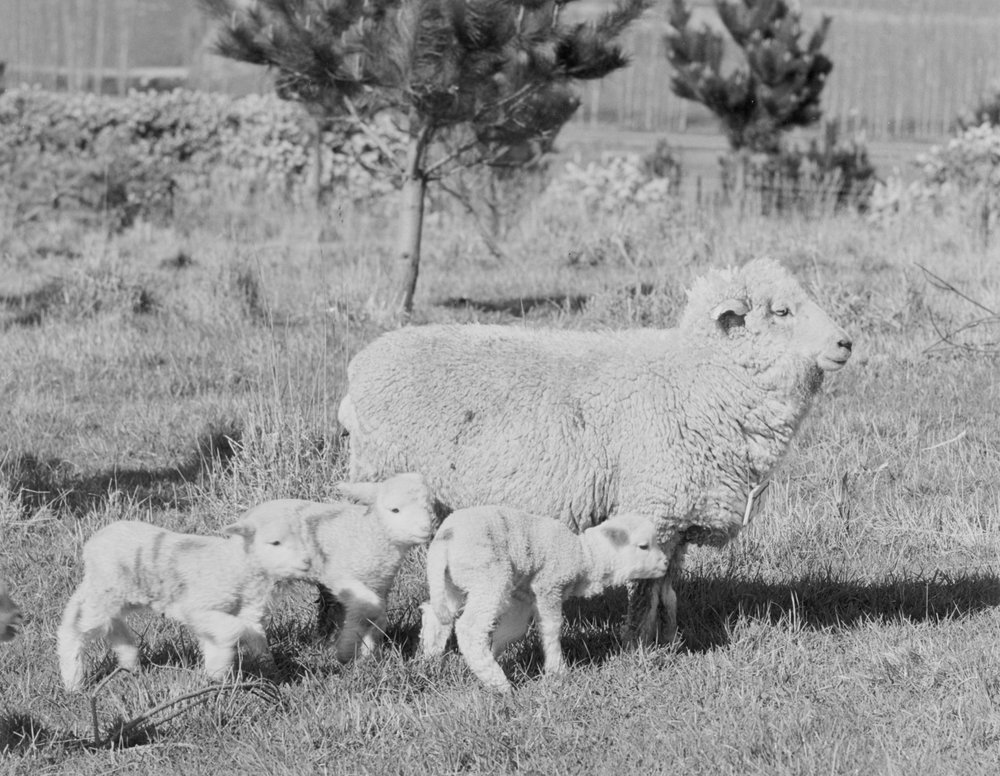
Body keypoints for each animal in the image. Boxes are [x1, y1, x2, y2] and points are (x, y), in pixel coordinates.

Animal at [57, 511, 313, 691]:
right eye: (275, 543)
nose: (307, 561)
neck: (234, 562)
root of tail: (93, 542)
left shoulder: (243, 610)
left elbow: (253, 638)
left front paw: (266, 671)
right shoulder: (199, 607)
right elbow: (234, 630)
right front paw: (219, 671)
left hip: (118, 596)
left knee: (113, 624)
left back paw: (130, 664)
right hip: (104, 591)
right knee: (73, 629)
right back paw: (73, 681)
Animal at [239, 472, 434, 663]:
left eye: (427, 506)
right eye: (395, 509)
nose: (426, 529)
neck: (369, 532)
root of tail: (248, 516)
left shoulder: (378, 585)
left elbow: (376, 618)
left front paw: (369, 657)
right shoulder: (339, 576)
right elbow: (368, 610)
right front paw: (346, 651)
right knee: (251, 616)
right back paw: (263, 659)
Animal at [338, 258, 853, 645]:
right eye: (781, 311)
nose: (846, 343)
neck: (698, 379)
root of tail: (361, 366)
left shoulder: (677, 515)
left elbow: (667, 589)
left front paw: (669, 641)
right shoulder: (654, 504)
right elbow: (646, 588)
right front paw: (640, 647)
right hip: (379, 480)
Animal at [419, 507, 669, 692]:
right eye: (643, 546)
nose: (666, 563)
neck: (584, 557)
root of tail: (445, 539)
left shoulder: (523, 597)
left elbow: (514, 630)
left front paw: (497, 650)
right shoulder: (549, 585)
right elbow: (551, 628)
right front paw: (557, 671)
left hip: (451, 581)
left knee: (436, 614)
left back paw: (431, 659)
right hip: (488, 577)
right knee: (469, 628)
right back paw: (497, 682)